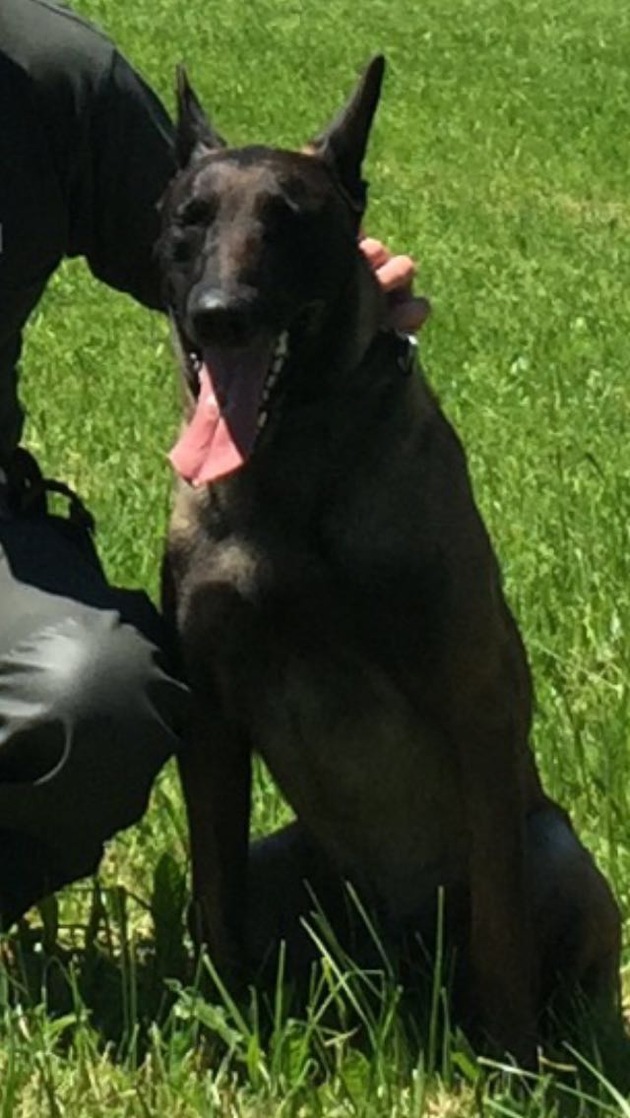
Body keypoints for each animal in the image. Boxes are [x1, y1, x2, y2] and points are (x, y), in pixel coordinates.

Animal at [157, 56, 622, 1064]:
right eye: (190, 219)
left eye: (290, 217)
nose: (222, 318)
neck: (292, 471)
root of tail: (400, 959)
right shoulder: (208, 718)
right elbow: (213, 895)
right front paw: (222, 1023)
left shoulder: (477, 707)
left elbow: (502, 931)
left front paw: (509, 1059)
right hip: (288, 863)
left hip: (556, 851)